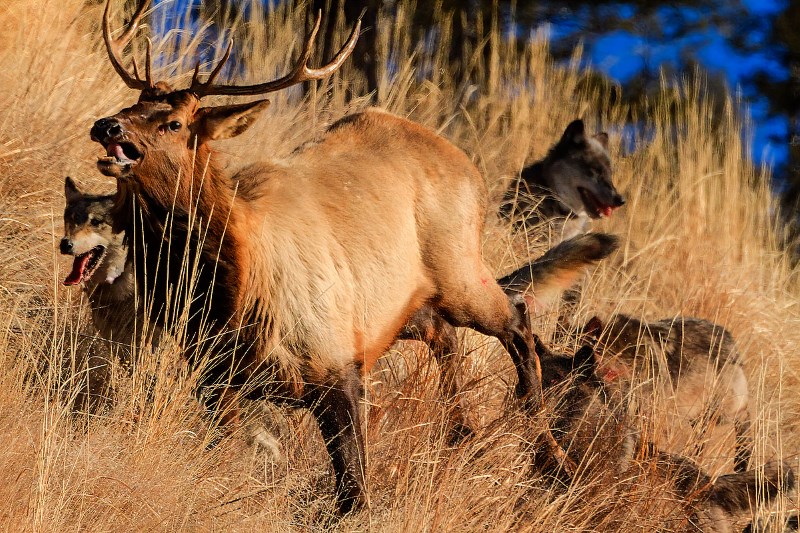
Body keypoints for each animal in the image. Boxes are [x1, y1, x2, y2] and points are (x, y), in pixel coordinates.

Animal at [92, 0, 568, 512]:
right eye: (131, 105)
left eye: (175, 123)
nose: (106, 124)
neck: (229, 299)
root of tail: (470, 167)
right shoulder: (215, 376)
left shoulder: (335, 360)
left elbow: (354, 488)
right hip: (401, 305)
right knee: (446, 336)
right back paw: (463, 435)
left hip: (459, 267)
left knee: (516, 319)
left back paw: (551, 459)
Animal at [580, 314, 752, 472]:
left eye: (610, 373)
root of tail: (731, 341)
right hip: (699, 418)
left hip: (722, 411)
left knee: (745, 417)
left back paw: (743, 459)